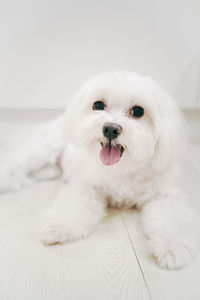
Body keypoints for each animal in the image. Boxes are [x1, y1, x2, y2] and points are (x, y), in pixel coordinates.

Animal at [0, 72, 199, 270]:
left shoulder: (165, 195)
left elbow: (170, 218)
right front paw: (59, 226)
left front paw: (172, 245)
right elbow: (75, 205)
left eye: (138, 111)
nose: (110, 128)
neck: (123, 168)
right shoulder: (86, 185)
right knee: (15, 162)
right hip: (44, 149)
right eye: (98, 105)